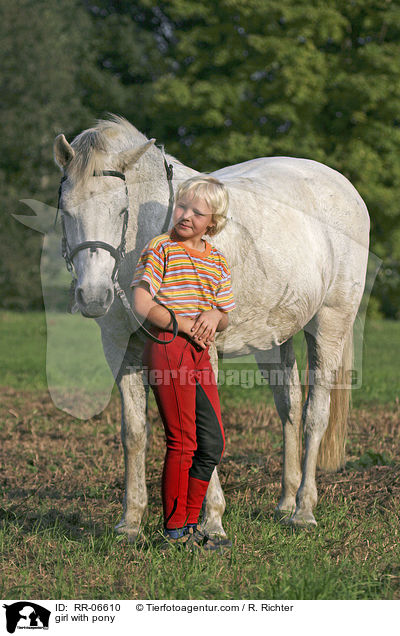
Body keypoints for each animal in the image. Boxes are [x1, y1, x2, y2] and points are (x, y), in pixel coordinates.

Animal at [52, 113, 368, 536]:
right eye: (67, 211)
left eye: (121, 211)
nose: (93, 296)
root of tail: (342, 186)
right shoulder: (121, 349)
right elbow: (134, 432)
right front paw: (130, 521)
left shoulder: (204, 349)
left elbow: (206, 427)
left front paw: (212, 522)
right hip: (274, 339)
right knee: (289, 408)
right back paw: (285, 502)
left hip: (330, 325)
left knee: (315, 414)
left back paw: (303, 510)